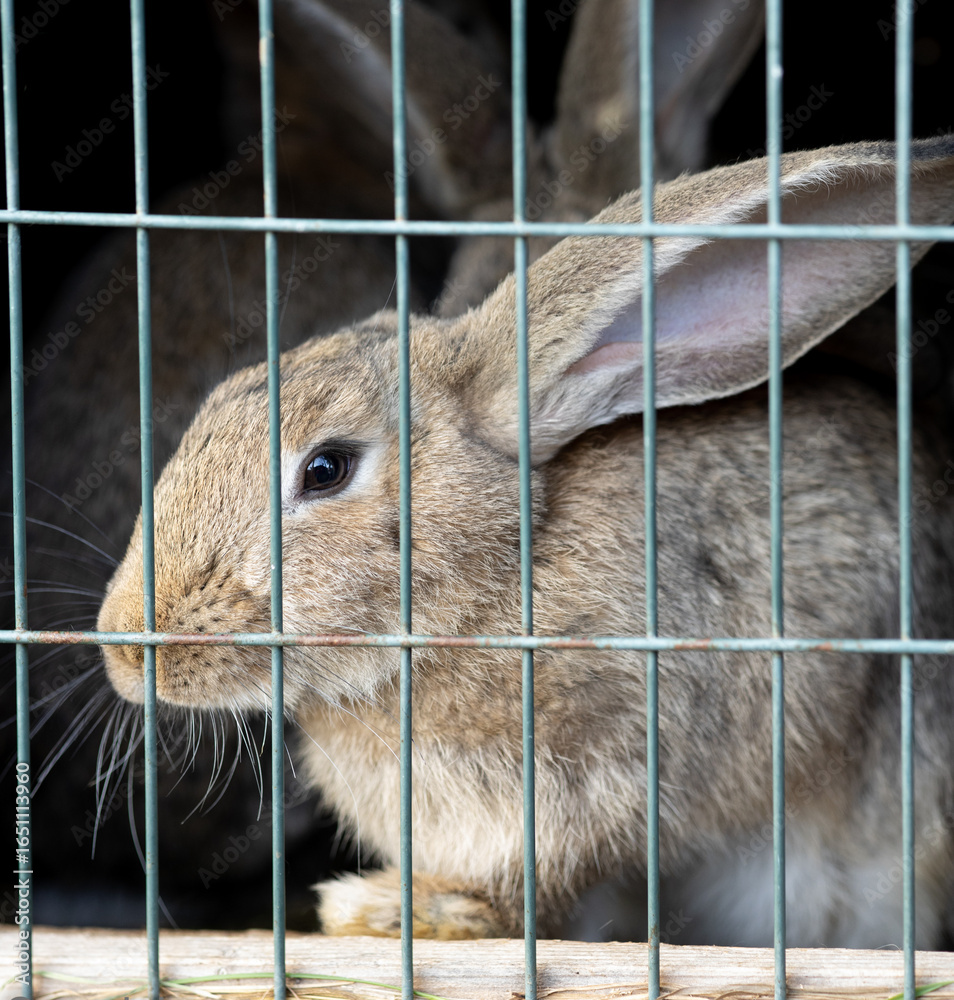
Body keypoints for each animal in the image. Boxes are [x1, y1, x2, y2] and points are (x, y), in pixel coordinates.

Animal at [96, 135, 954, 947]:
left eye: (327, 469)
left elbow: (537, 883)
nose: (126, 649)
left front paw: (393, 912)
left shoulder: (600, 776)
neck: (496, 580)